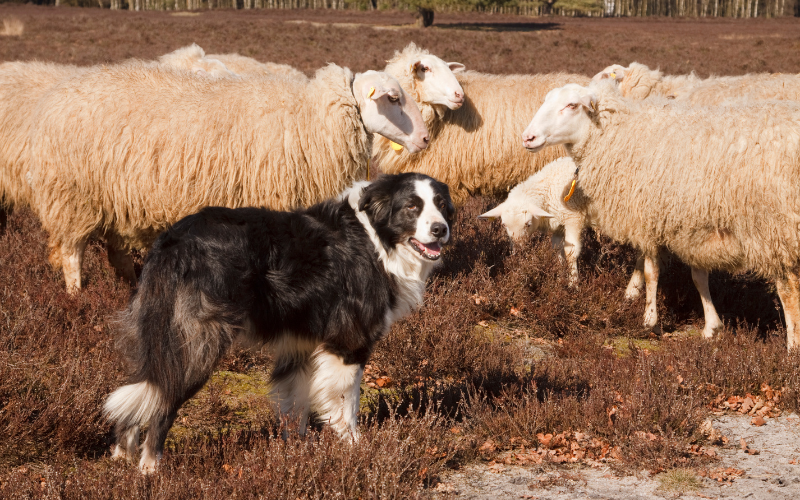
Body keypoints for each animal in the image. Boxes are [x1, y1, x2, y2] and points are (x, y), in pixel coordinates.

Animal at [28, 61, 428, 292]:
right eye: (393, 98)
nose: (425, 139)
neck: (308, 120)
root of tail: (52, 100)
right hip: (72, 194)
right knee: (72, 251)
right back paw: (77, 295)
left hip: (113, 197)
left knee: (114, 246)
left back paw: (131, 283)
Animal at [520, 83, 800, 348]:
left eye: (572, 105)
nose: (527, 137)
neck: (619, 135)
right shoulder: (687, 221)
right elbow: (697, 276)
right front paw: (711, 326)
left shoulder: (649, 217)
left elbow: (650, 271)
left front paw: (649, 320)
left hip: (775, 228)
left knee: (789, 290)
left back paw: (791, 347)